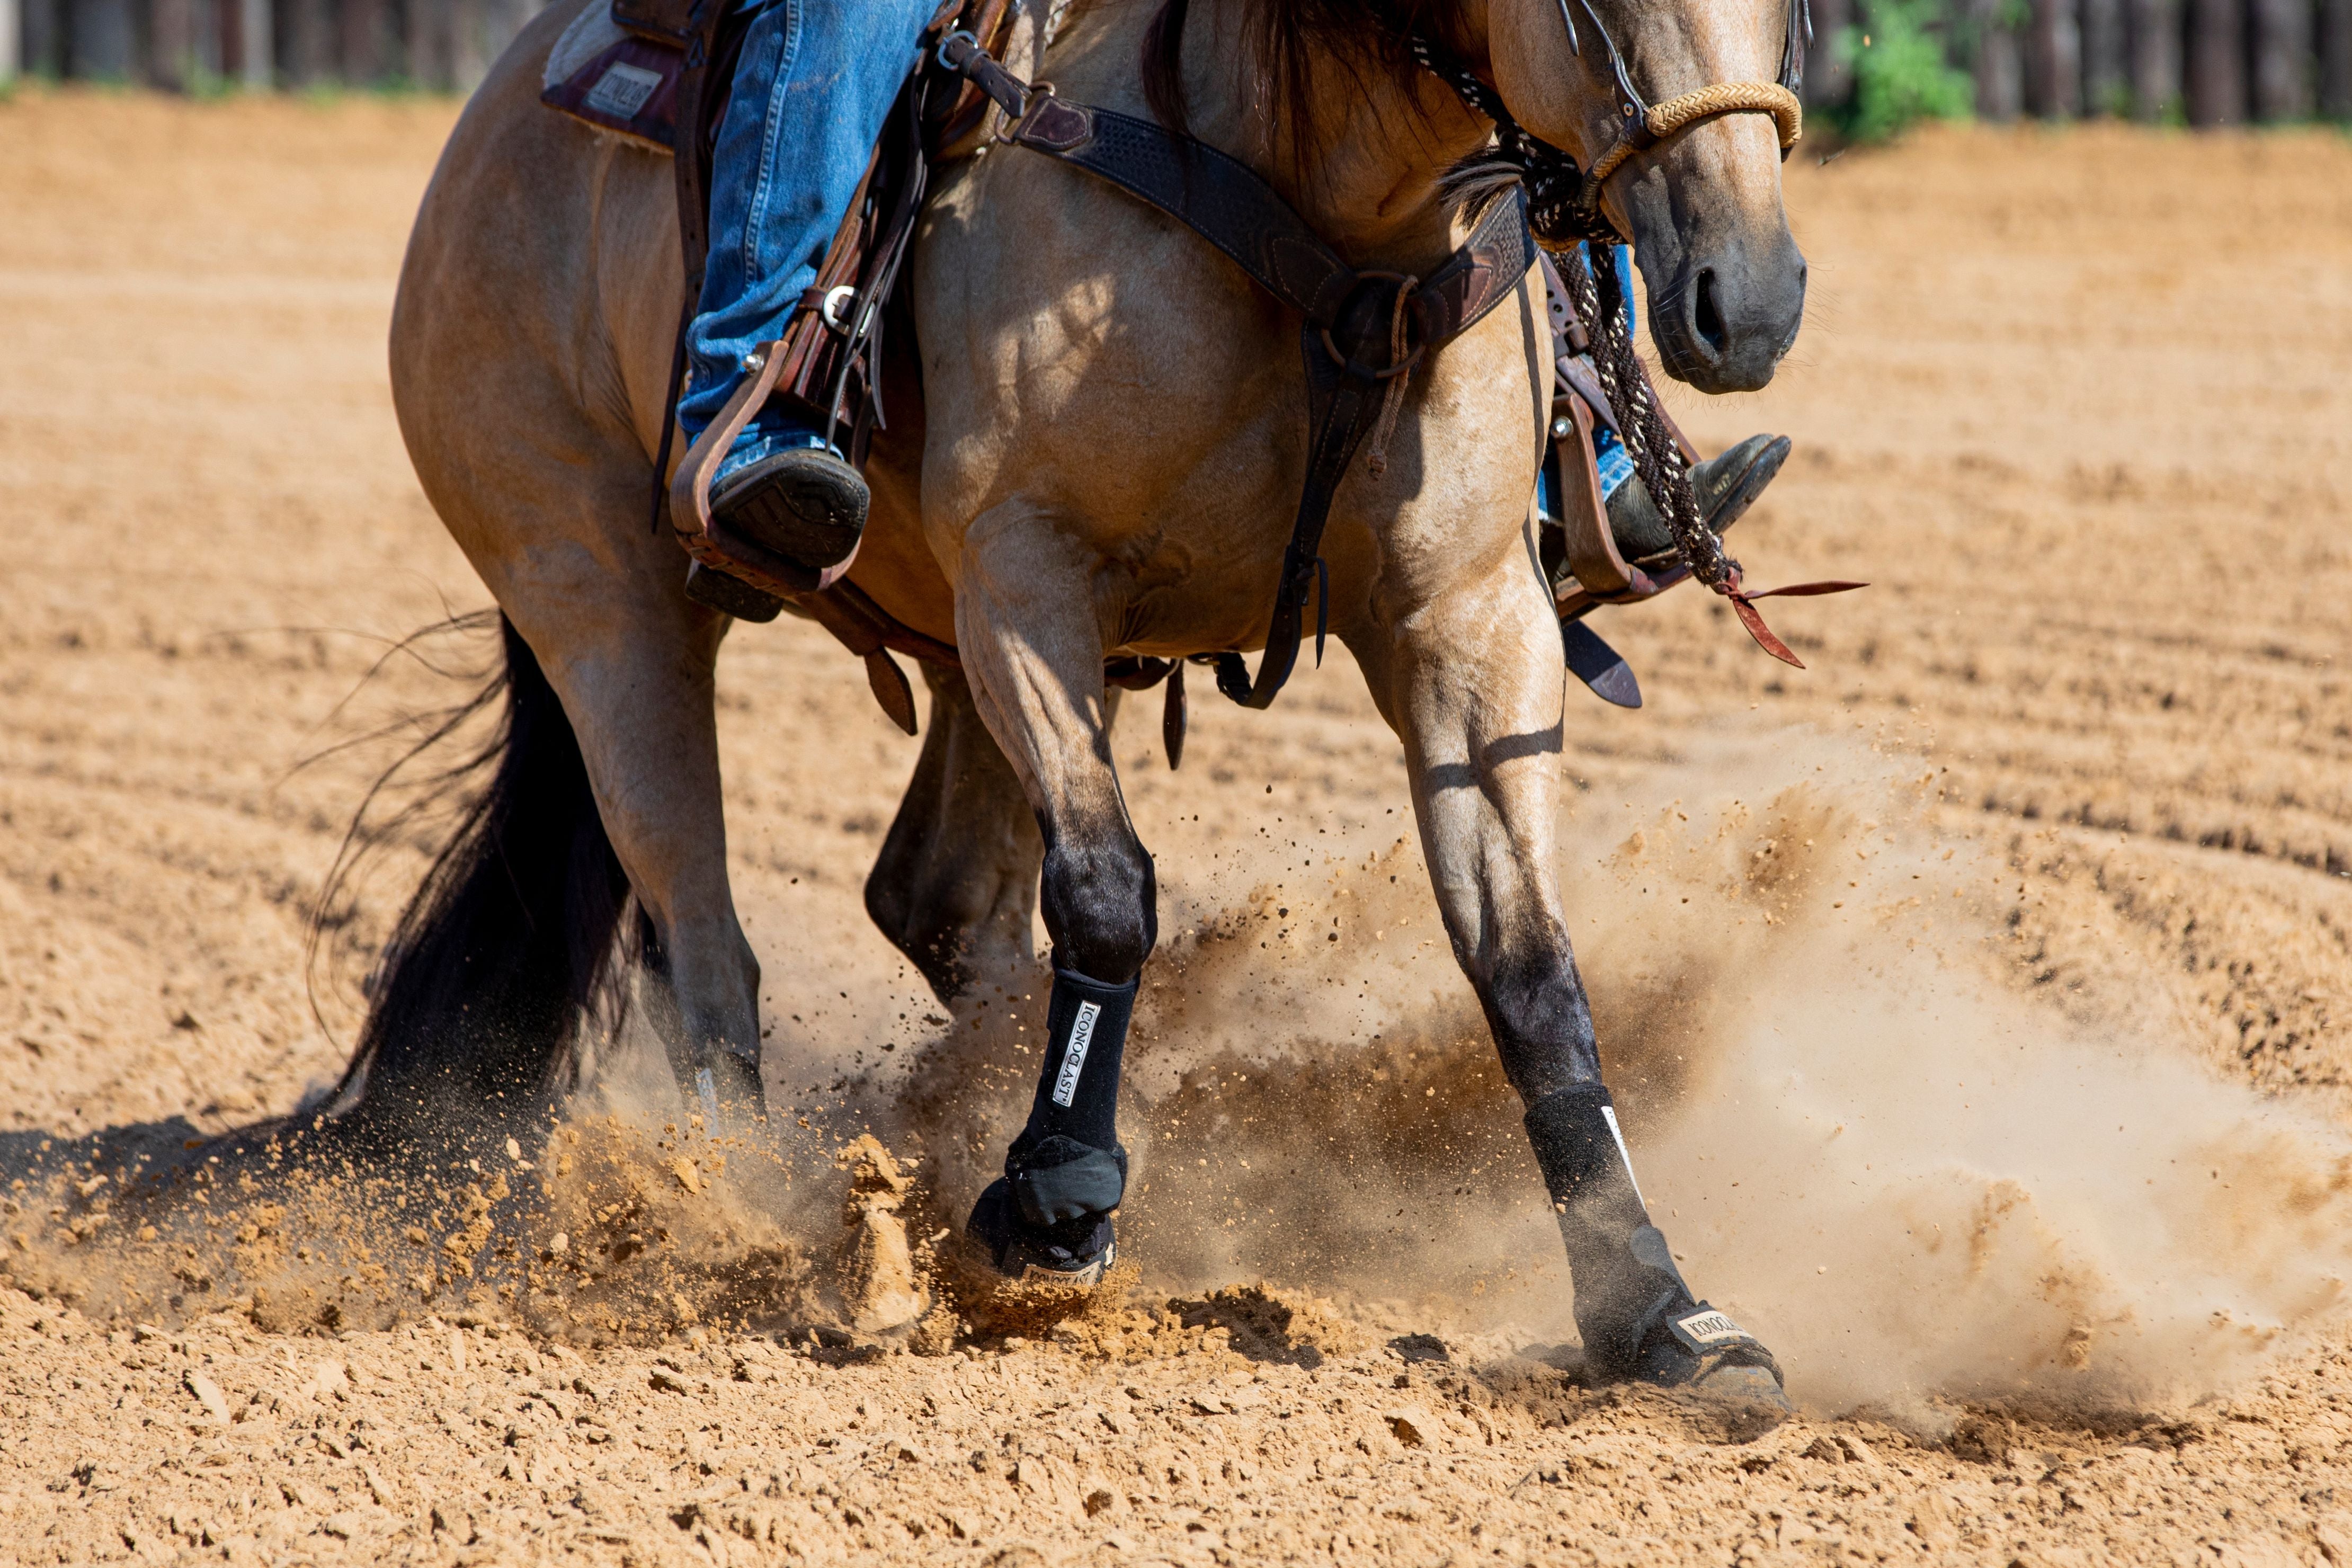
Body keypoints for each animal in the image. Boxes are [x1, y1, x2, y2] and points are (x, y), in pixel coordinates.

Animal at [357, 0, 1806, 1401]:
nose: (1751, 296)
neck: (1321, 187)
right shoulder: (1027, 575)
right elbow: (1108, 891)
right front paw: (1056, 1199)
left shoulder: (1470, 615)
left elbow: (1526, 960)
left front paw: (1655, 1303)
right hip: (603, 601)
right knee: (704, 948)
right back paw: (751, 1222)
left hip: (931, 641)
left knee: (932, 901)